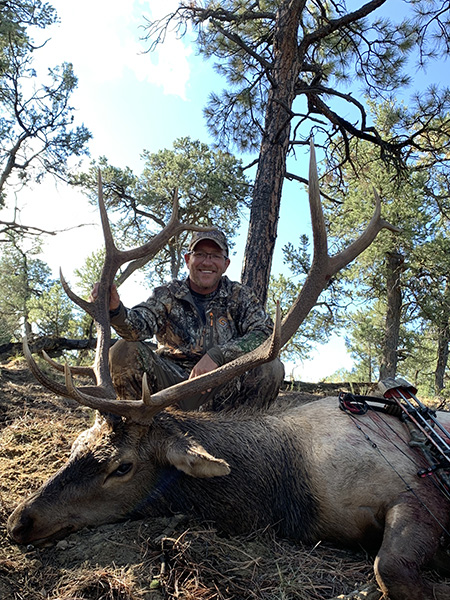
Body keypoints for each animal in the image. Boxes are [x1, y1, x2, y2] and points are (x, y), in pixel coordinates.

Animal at [7, 142, 450, 600]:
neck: (291, 488)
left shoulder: (418, 491)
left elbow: (389, 567)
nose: (20, 520)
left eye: (122, 467)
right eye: (76, 446)